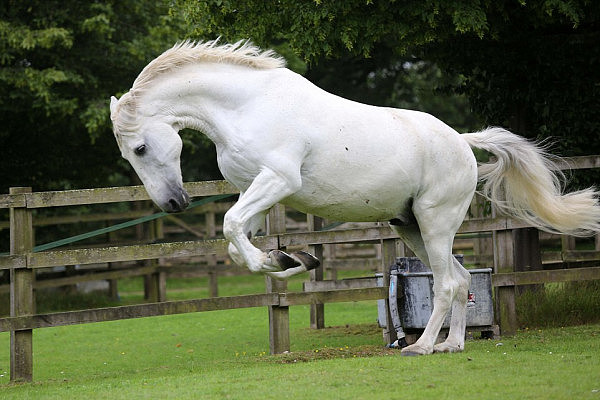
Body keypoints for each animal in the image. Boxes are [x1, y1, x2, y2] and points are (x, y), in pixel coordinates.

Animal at [110, 39, 600, 354]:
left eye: (140, 148)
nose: (173, 204)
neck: (246, 107)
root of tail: (462, 141)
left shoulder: (278, 180)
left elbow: (231, 227)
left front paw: (289, 261)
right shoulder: (256, 190)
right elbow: (237, 243)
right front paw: (289, 260)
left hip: (435, 222)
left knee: (445, 284)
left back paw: (422, 346)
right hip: (410, 227)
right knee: (462, 281)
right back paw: (453, 345)